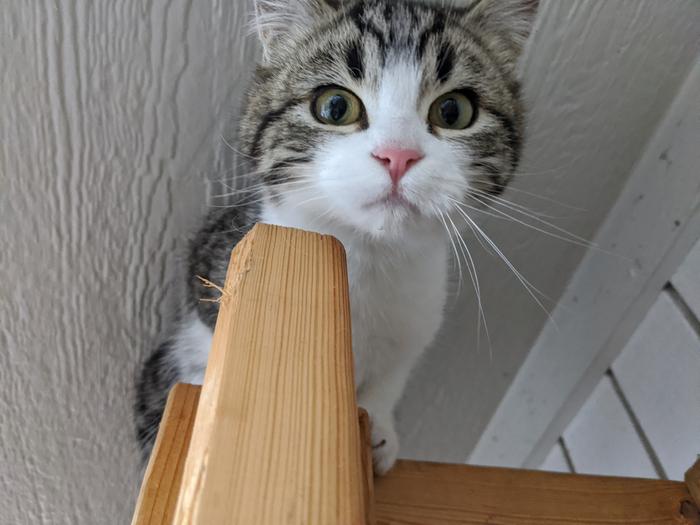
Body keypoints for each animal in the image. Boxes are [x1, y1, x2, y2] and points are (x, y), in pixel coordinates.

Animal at [134, 0, 540, 474]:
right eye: (334, 106)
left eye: (454, 111)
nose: (397, 155)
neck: (366, 261)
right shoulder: (213, 257)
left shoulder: (415, 322)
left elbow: (391, 376)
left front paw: (379, 427)